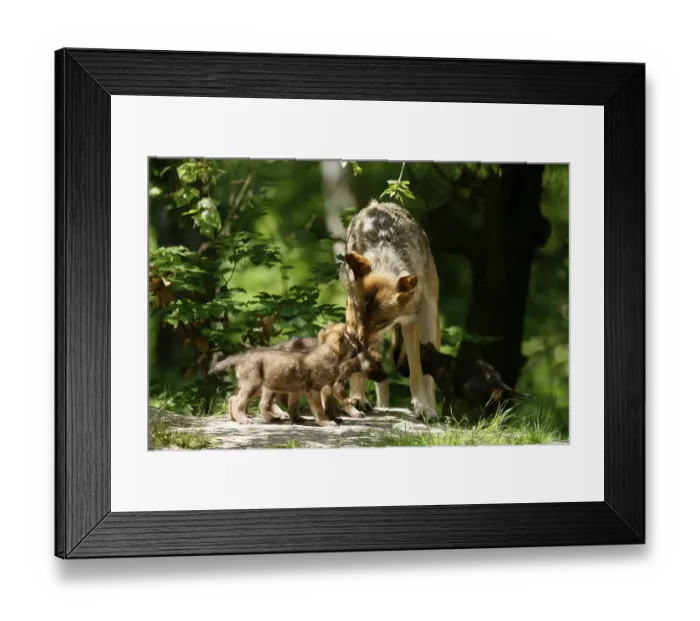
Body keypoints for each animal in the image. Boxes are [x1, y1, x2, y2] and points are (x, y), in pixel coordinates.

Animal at [342, 200, 440, 421]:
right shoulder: (352, 317)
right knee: (380, 380)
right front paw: (356, 399)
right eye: (359, 315)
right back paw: (378, 405)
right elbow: (357, 368)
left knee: (430, 378)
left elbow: (415, 371)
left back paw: (432, 410)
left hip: (429, 322)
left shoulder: (409, 323)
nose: (360, 342)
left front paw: (422, 407)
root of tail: (379, 203)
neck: (385, 259)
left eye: (380, 321)